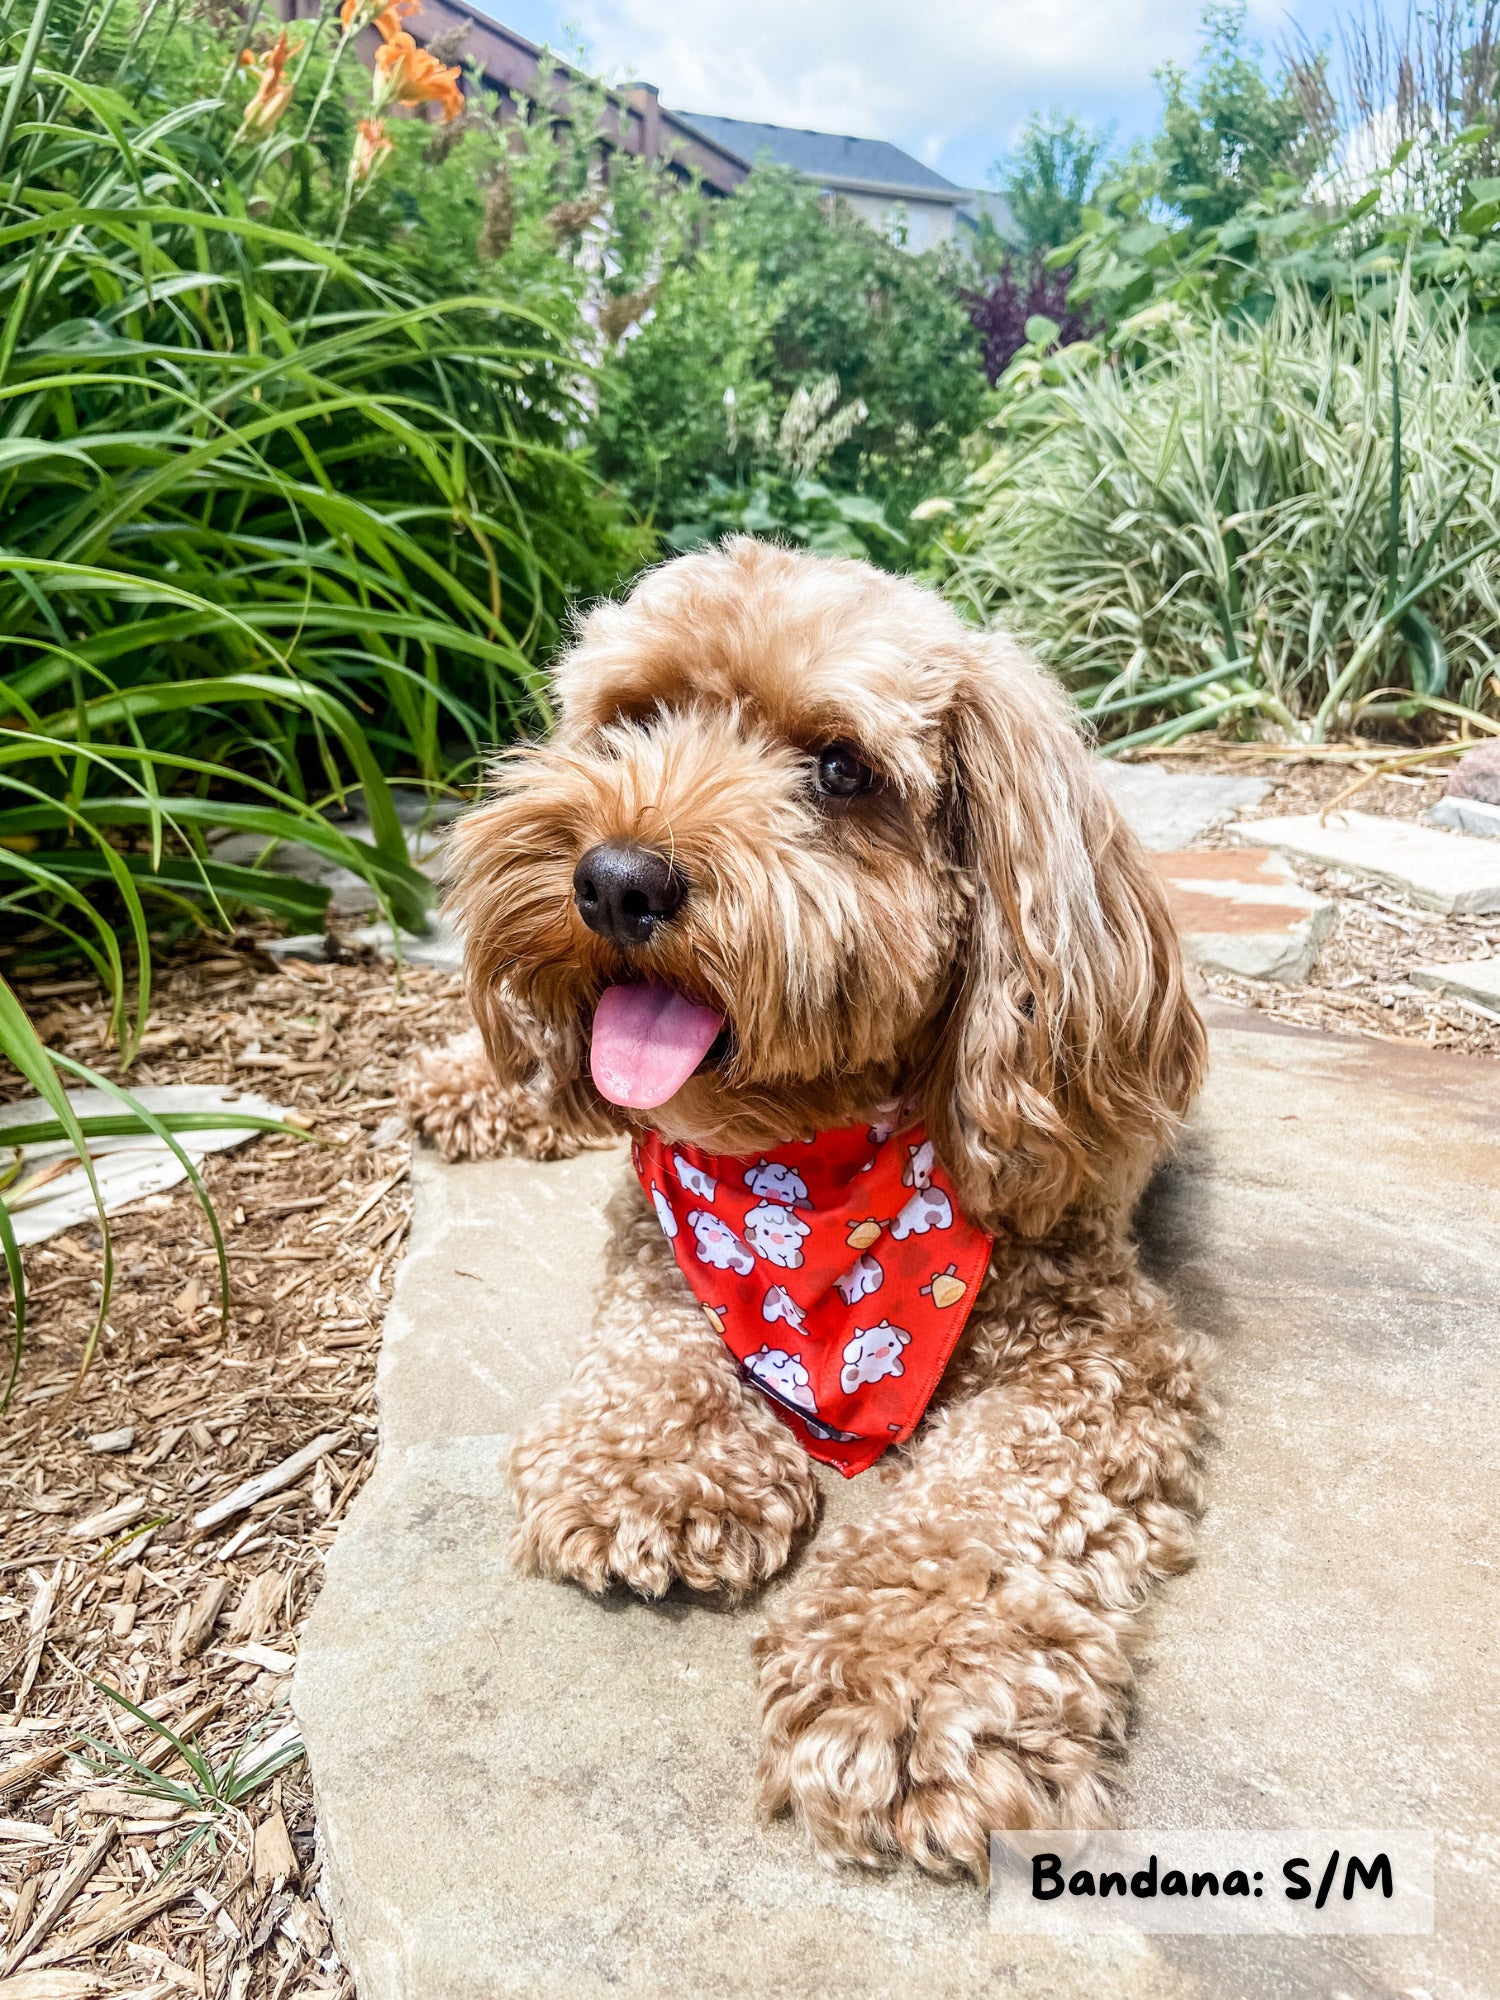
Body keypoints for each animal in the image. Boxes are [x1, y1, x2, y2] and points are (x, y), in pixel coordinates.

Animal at [396, 540, 1208, 1880]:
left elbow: (988, 1496)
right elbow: (658, 1321)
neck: (809, 1166)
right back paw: (474, 1080)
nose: (615, 879)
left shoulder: (1098, 1347)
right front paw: (652, 1459)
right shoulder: (659, 1217)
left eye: (838, 767)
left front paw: (913, 1680)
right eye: (634, 719)